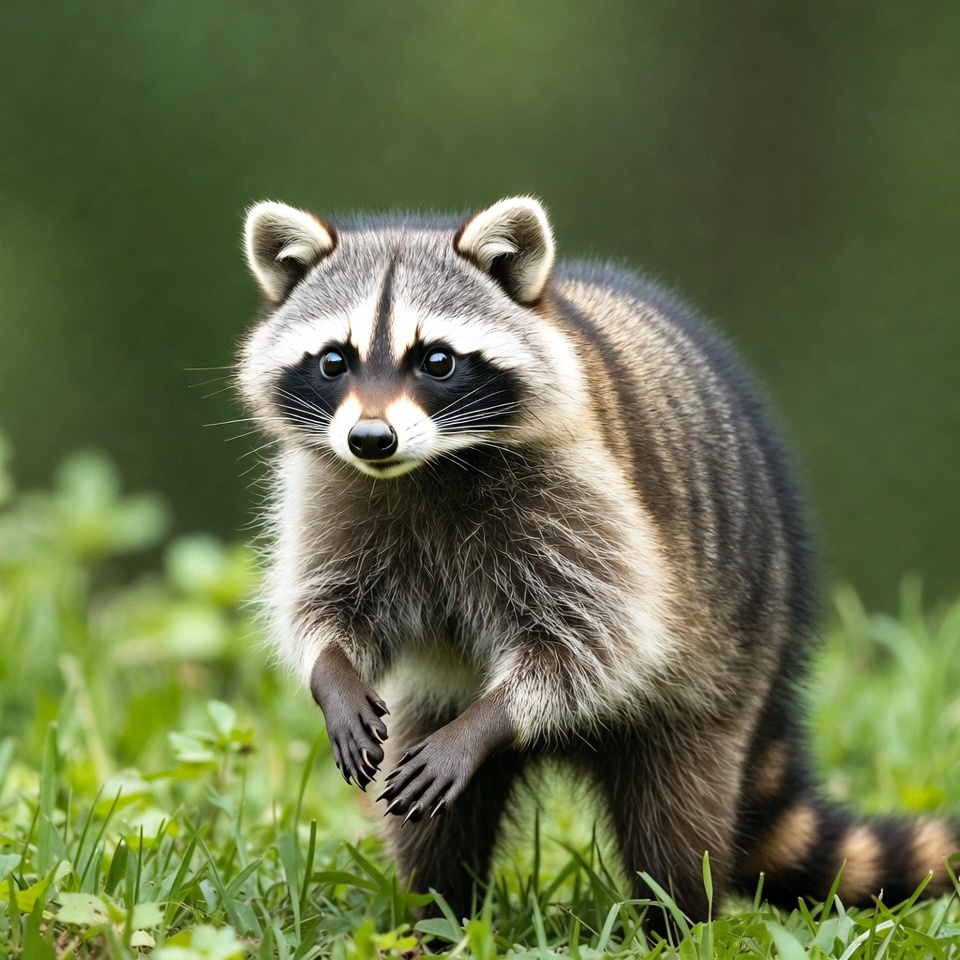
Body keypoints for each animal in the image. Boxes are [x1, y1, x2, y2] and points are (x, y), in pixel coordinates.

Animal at [236, 196, 957, 931]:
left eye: (436, 360)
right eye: (334, 361)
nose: (371, 438)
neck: (428, 468)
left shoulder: (587, 486)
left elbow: (598, 638)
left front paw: (501, 712)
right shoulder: (334, 486)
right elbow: (326, 602)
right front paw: (332, 673)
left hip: (718, 679)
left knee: (677, 818)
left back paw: (673, 923)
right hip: (438, 699)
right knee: (439, 829)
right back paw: (436, 918)